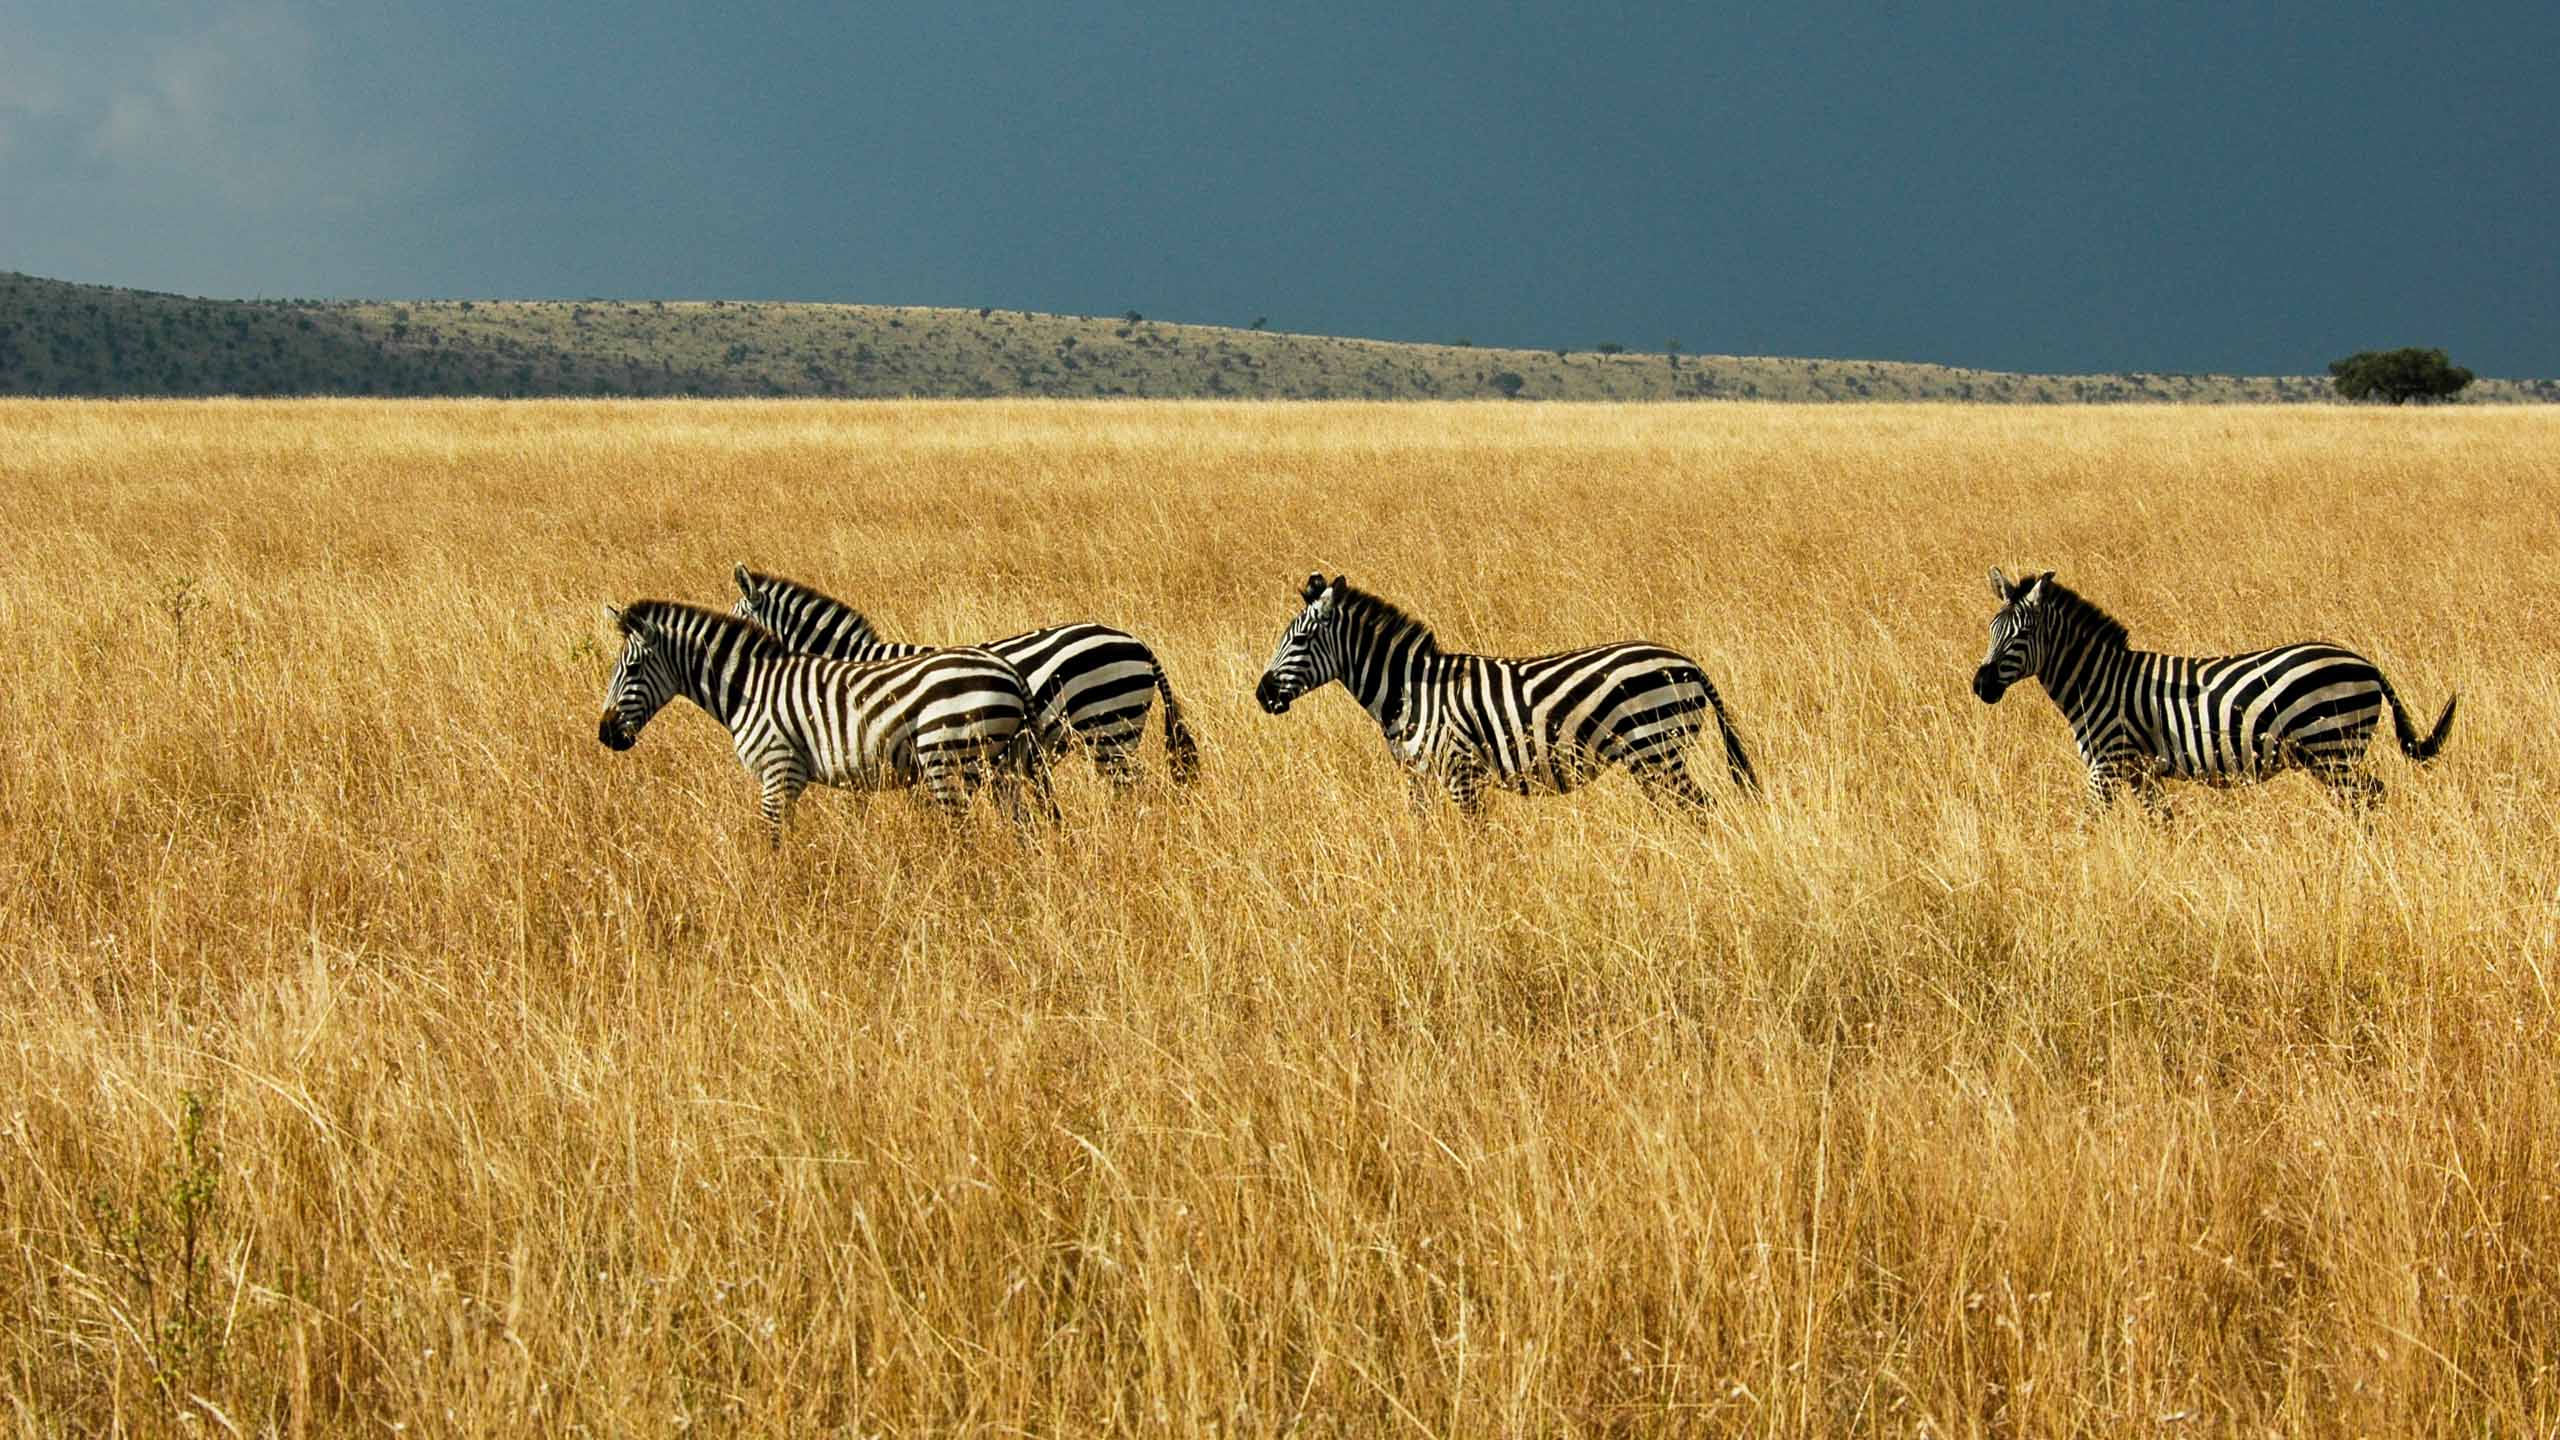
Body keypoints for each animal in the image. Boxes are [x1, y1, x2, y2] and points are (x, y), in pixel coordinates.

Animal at [593, 597, 1054, 840]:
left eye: (631, 668)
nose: (605, 734)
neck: (747, 687)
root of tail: (1008, 670)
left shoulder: (778, 770)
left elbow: (774, 840)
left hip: (950, 761)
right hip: (1004, 765)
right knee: (1021, 826)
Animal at [1244, 568, 1761, 809]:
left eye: (1301, 640)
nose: (1262, 694)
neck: (1410, 692)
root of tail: (1687, 662)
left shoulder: (1460, 773)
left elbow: (1476, 844)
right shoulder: (1417, 778)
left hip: (1656, 748)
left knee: (1700, 810)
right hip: (1654, 757)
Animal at [1966, 563, 2447, 809]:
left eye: (2022, 635)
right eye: (1991, 629)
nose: (1980, 685)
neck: (2097, 681)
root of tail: (2364, 662)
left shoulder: (2107, 765)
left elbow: (2089, 824)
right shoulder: (2141, 772)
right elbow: (2162, 824)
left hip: (2333, 746)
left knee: (2368, 798)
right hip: (2330, 754)